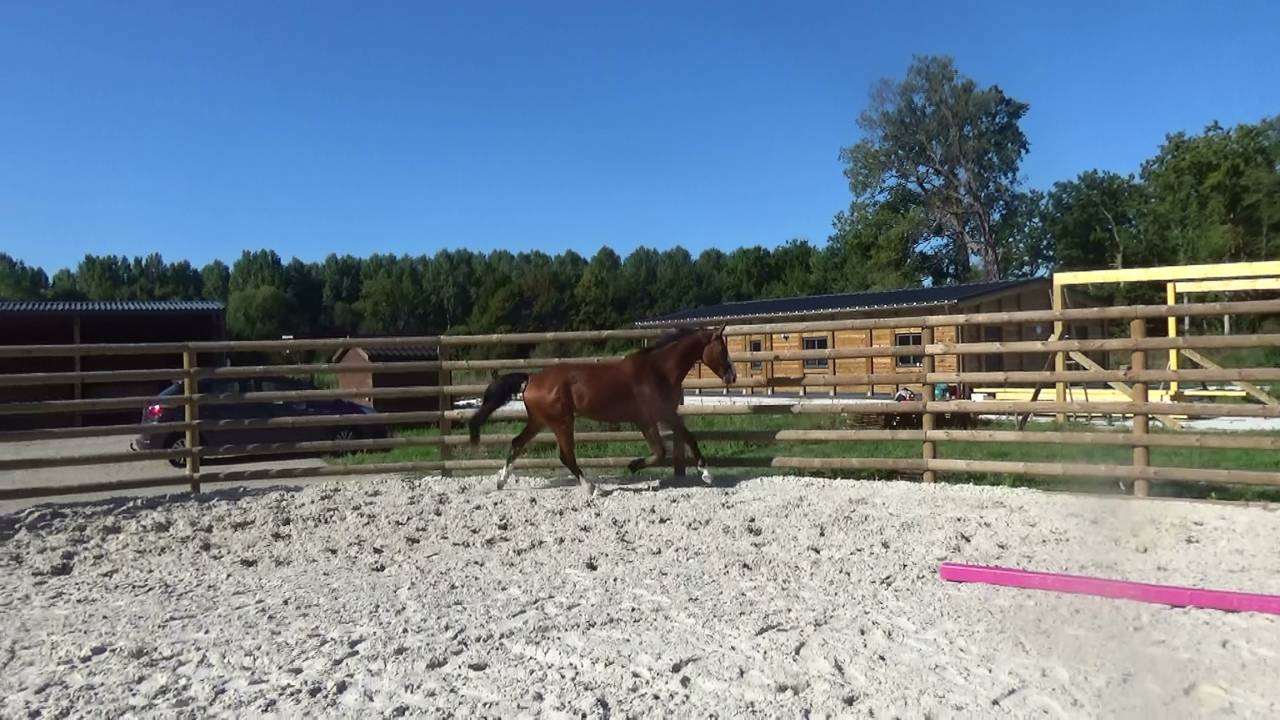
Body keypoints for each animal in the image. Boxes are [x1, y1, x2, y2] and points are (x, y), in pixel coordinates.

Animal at [466, 326, 737, 495]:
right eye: (722, 350)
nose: (732, 376)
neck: (658, 370)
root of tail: (531, 379)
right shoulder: (650, 420)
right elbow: (661, 452)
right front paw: (633, 466)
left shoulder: (667, 415)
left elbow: (688, 437)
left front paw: (706, 474)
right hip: (562, 422)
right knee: (566, 456)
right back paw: (591, 487)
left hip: (539, 421)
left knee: (516, 443)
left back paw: (501, 481)